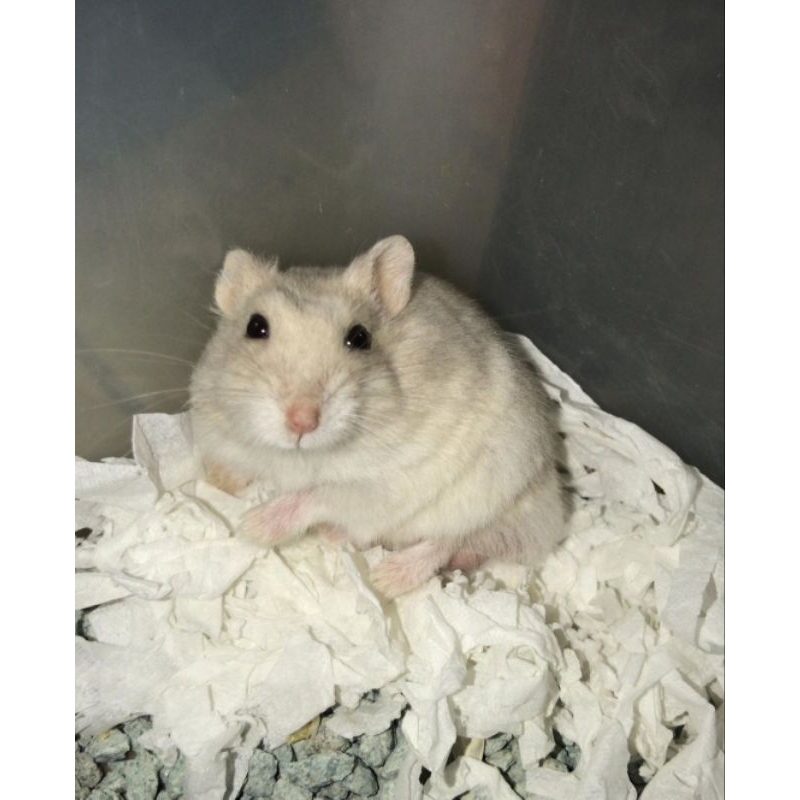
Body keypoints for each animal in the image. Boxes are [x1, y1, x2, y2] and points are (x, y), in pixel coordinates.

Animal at [189, 235, 566, 598]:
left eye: (359, 337)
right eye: (255, 326)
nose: (302, 421)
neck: (298, 456)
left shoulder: (380, 486)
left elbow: (315, 494)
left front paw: (251, 526)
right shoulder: (220, 433)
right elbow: (239, 464)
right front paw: (217, 482)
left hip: (484, 497)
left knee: (449, 541)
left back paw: (385, 576)